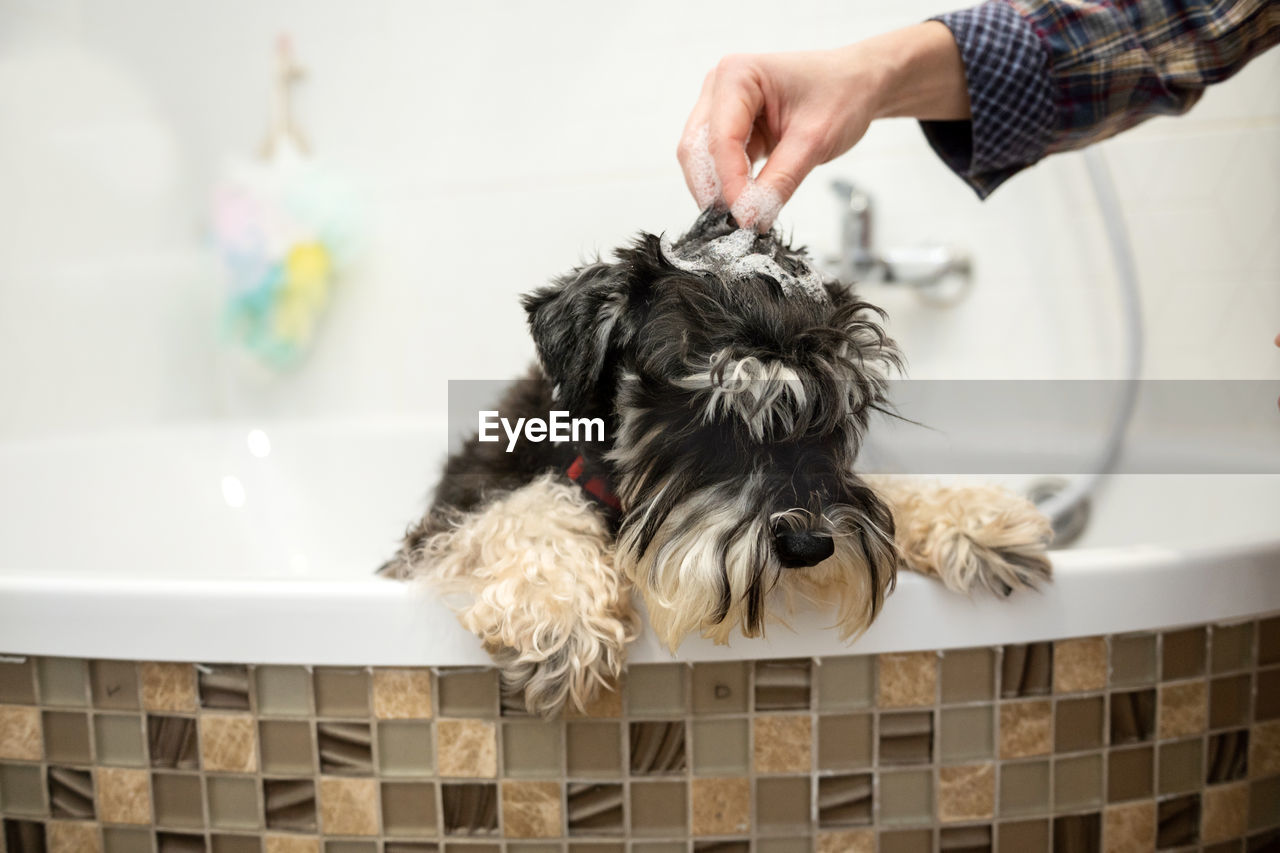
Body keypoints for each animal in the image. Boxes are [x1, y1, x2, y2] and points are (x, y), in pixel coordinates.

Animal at [381, 208, 1049, 712]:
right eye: (712, 413)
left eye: (840, 411)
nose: (810, 545)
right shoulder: (446, 521)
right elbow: (525, 510)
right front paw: (560, 618)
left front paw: (977, 520)